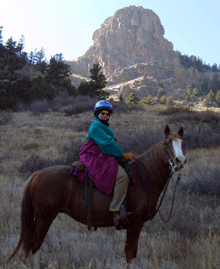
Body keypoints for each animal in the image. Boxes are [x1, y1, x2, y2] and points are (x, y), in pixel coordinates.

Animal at [6, 125, 186, 264]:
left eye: (182, 143)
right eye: (167, 143)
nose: (180, 160)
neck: (145, 176)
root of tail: (36, 174)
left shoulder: (133, 225)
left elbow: (129, 253)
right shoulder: (136, 223)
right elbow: (130, 254)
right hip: (45, 218)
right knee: (33, 245)